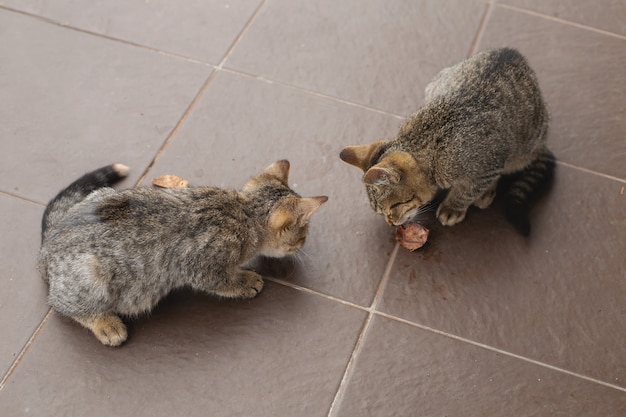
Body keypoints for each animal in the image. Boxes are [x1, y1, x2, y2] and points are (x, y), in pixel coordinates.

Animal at [37, 159, 326, 344]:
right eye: (302, 234)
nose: (303, 244)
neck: (244, 211)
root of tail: (46, 247)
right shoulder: (202, 266)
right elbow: (222, 281)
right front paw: (244, 280)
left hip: (101, 194)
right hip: (91, 278)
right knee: (60, 304)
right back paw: (105, 324)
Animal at [338, 47, 552, 236]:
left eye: (395, 206)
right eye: (381, 212)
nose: (390, 222)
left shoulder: (490, 163)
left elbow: (467, 190)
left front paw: (453, 207)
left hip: (524, 150)